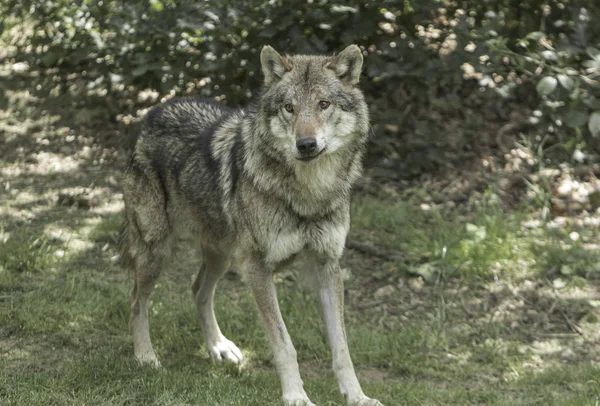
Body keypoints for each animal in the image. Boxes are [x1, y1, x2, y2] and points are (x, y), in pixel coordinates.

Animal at [120, 44, 384, 406]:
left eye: (323, 104)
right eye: (289, 108)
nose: (306, 144)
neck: (308, 194)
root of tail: (155, 111)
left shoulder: (327, 266)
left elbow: (342, 348)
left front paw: (357, 396)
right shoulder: (258, 268)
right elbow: (284, 344)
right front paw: (296, 396)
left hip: (222, 255)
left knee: (198, 290)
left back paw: (218, 347)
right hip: (156, 253)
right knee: (136, 300)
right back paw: (146, 357)